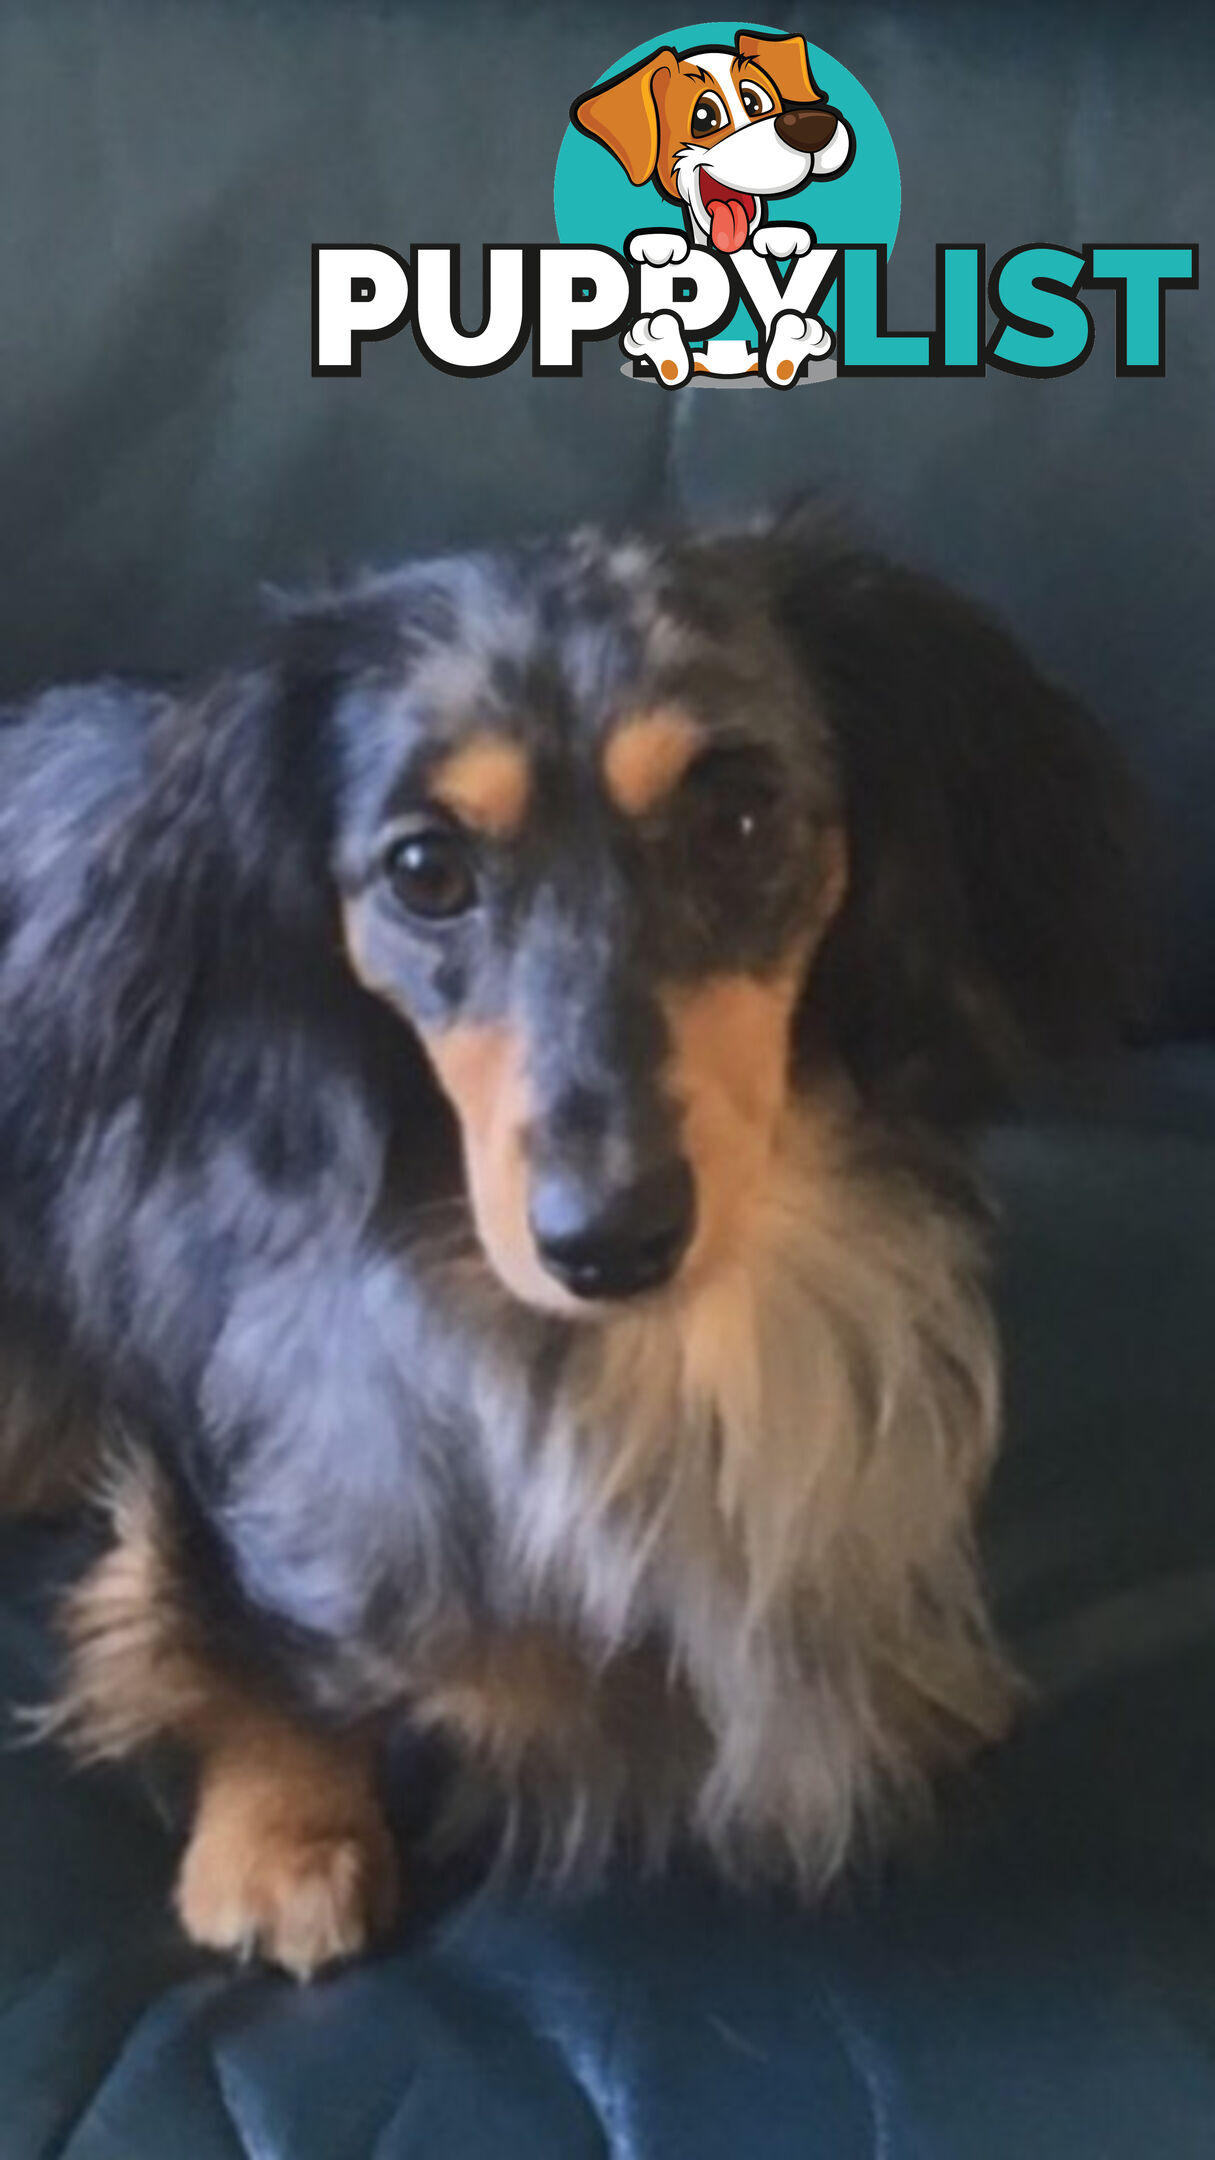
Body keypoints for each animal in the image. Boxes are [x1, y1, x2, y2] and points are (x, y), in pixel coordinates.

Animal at [0, 509, 1132, 1978]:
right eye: (424, 870)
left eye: (739, 818)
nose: (609, 1242)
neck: (653, 1353)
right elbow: (245, 1626)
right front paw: (287, 1831)